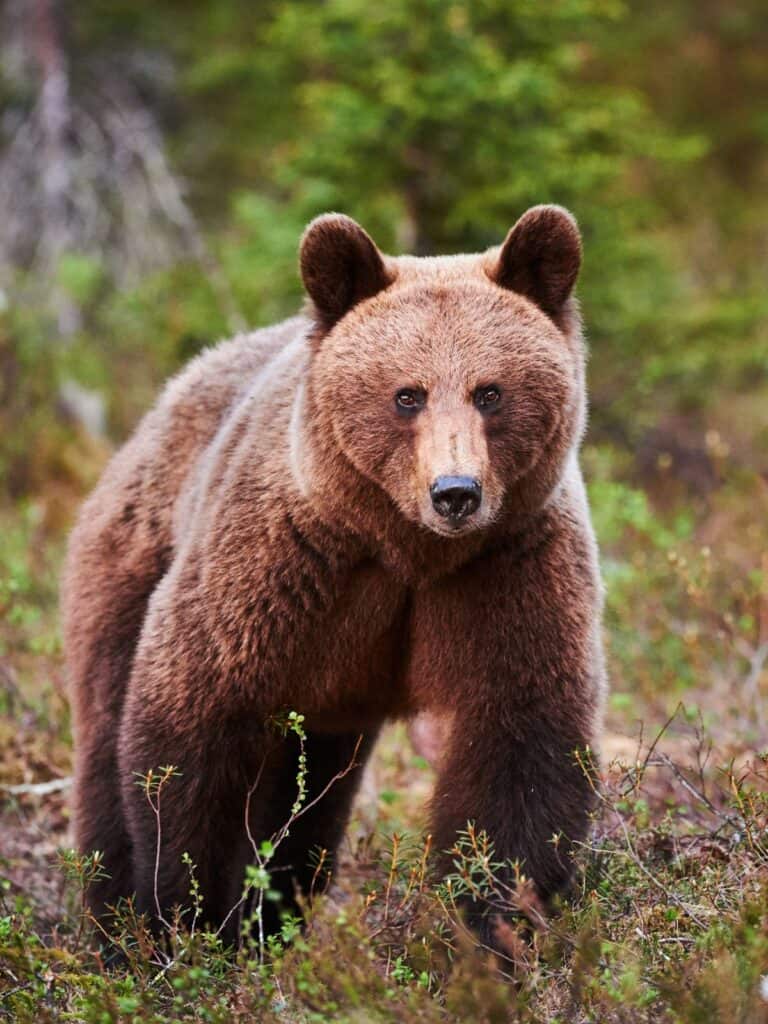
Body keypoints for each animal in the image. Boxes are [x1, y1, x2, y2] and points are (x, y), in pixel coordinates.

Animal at [62, 204, 605, 949]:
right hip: (132, 558)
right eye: (407, 395)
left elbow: (520, 746)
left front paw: (489, 926)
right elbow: (194, 725)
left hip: (329, 703)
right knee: (108, 728)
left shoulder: (508, 567)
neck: (406, 549)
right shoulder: (280, 568)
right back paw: (117, 924)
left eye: (490, 392)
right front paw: (191, 918)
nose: (455, 493)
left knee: (311, 802)